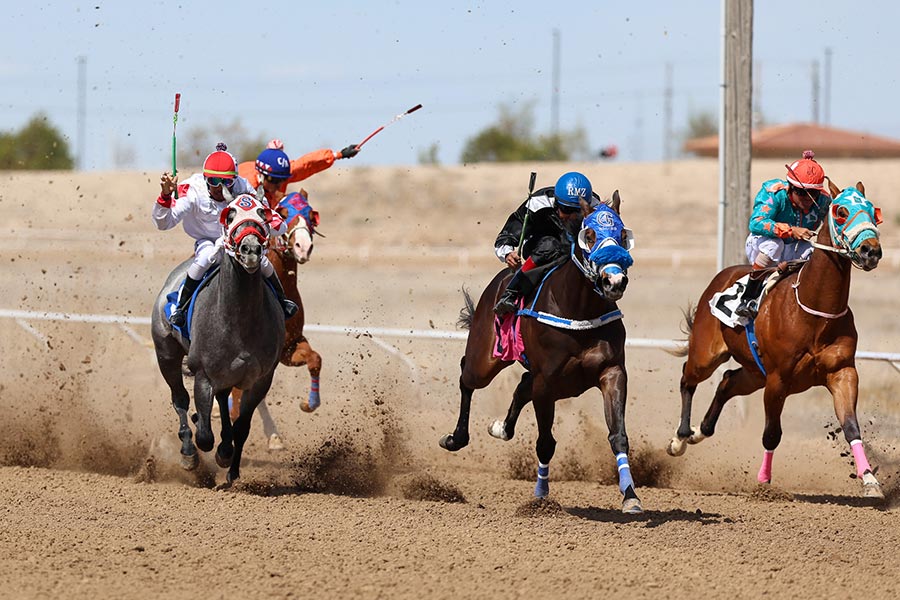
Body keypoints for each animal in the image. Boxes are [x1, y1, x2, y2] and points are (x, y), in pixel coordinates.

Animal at [151, 192, 286, 484]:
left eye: (262, 212)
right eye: (230, 214)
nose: (250, 250)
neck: (238, 319)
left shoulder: (260, 379)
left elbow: (241, 427)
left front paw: (231, 467)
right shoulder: (203, 374)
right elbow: (204, 435)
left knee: (222, 401)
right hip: (166, 354)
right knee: (180, 399)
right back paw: (188, 453)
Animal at [228, 189, 323, 436]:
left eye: (310, 215)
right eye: (282, 213)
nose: (302, 247)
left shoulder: (288, 348)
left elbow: (315, 359)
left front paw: (309, 403)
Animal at [439, 192, 644, 514]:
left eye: (623, 234)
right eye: (589, 234)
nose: (614, 281)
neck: (578, 309)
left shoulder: (612, 372)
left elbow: (618, 436)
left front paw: (630, 497)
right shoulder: (546, 382)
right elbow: (545, 443)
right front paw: (541, 497)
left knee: (522, 385)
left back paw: (501, 428)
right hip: (485, 359)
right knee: (466, 376)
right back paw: (456, 438)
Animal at [666, 179, 885, 498]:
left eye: (872, 211)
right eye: (841, 211)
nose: (871, 251)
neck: (815, 312)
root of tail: (721, 276)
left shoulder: (842, 372)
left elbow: (851, 427)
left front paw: (870, 480)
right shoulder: (778, 379)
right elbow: (771, 434)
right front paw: (763, 481)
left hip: (754, 373)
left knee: (728, 381)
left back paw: (698, 432)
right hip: (707, 355)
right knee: (688, 378)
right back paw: (680, 438)